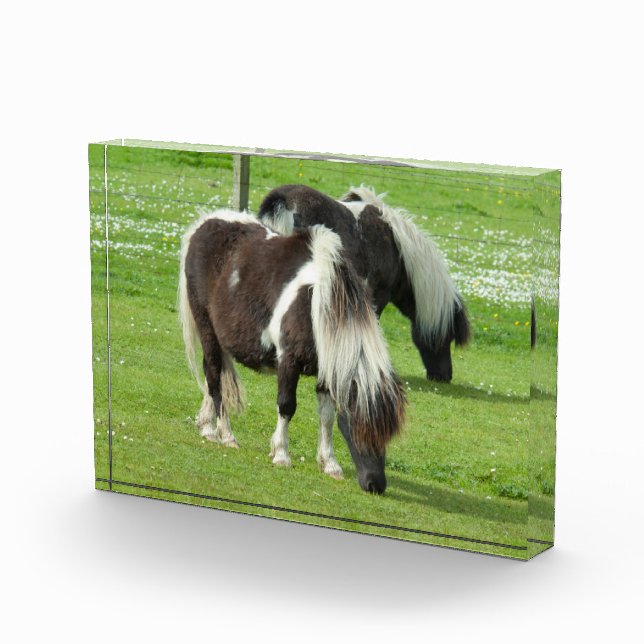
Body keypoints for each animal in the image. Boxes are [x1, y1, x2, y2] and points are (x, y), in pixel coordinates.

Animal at [178, 209, 406, 494]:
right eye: (358, 427)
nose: (375, 484)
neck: (317, 306)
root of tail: (205, 224)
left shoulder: (327, 371)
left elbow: (327, 416)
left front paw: (330, 464)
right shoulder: (288, 361)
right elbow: (287, 406)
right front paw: (281, 454)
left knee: (215, 377)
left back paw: (206, 424)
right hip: (205, 325)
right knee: (212, 374)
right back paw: (223, 434)